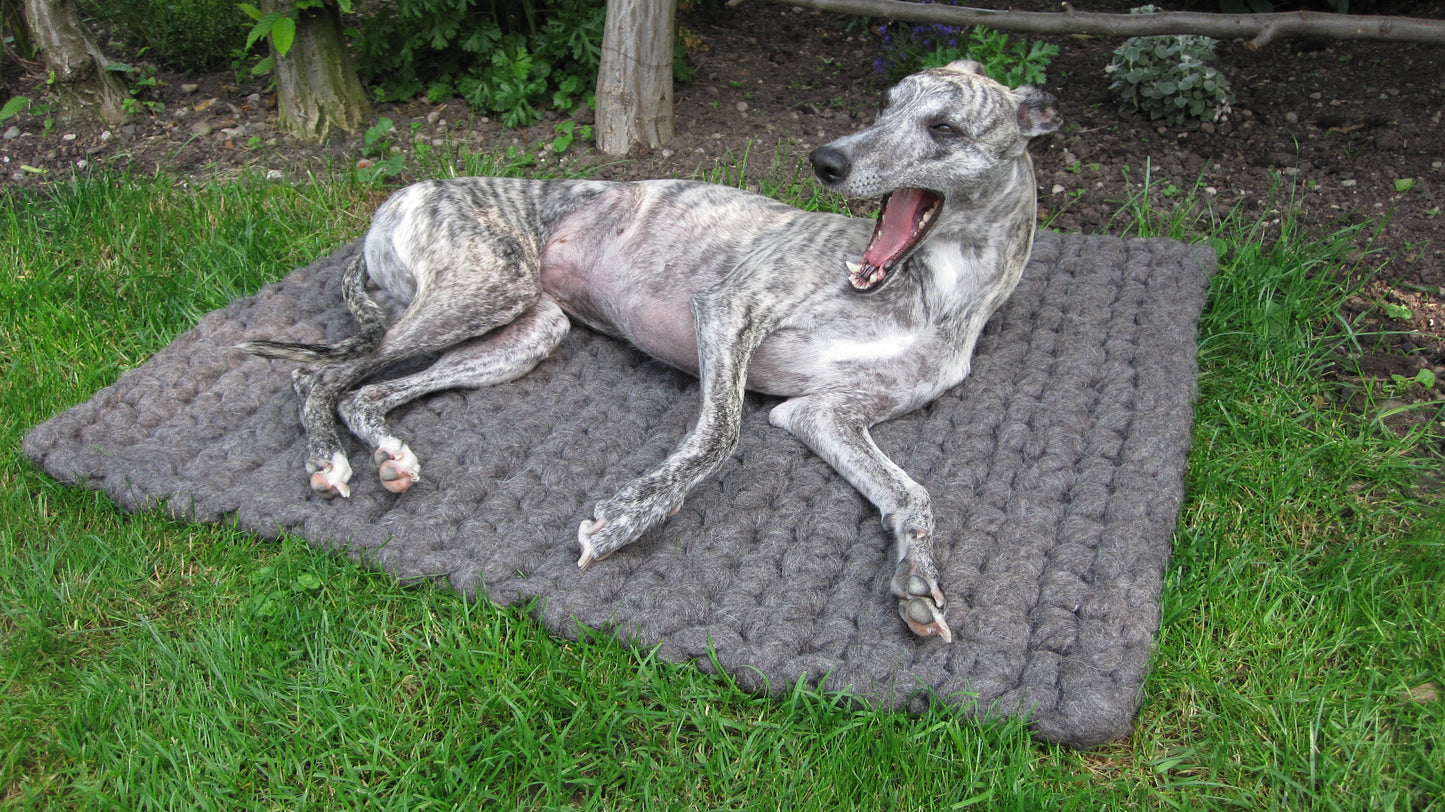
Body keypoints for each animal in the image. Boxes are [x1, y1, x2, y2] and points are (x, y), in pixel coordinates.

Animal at [236, 61, 1063, 638]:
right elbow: (718, 437)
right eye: (885, 104)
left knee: (365, 390)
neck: (931, 292)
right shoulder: (727, 309)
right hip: (480, 289)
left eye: (944, 128)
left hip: (525, 331)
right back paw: (326, 459)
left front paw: (917, 581)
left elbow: (911, 495)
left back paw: (388, 454)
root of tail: (400, 196)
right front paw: (629, 517)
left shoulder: (823, 415)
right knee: (318, 378)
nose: (825, 160)